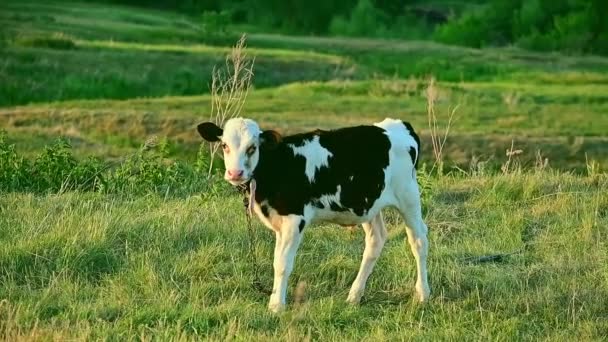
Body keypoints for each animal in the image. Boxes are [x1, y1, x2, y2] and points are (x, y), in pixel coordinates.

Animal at [197, 117, 430, 312]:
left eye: (252, 147)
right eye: (224, 145)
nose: (235, 173)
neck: (277, 165)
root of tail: (398, 125)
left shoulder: (294, 219)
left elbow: (283, 264)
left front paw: (277, 306)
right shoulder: (280, 223)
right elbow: (277, 260)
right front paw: (275, 299)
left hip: (408, 196)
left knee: (418, 240)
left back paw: (423, 294)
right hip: (369, 205)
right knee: (376, 241)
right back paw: (354, 295)